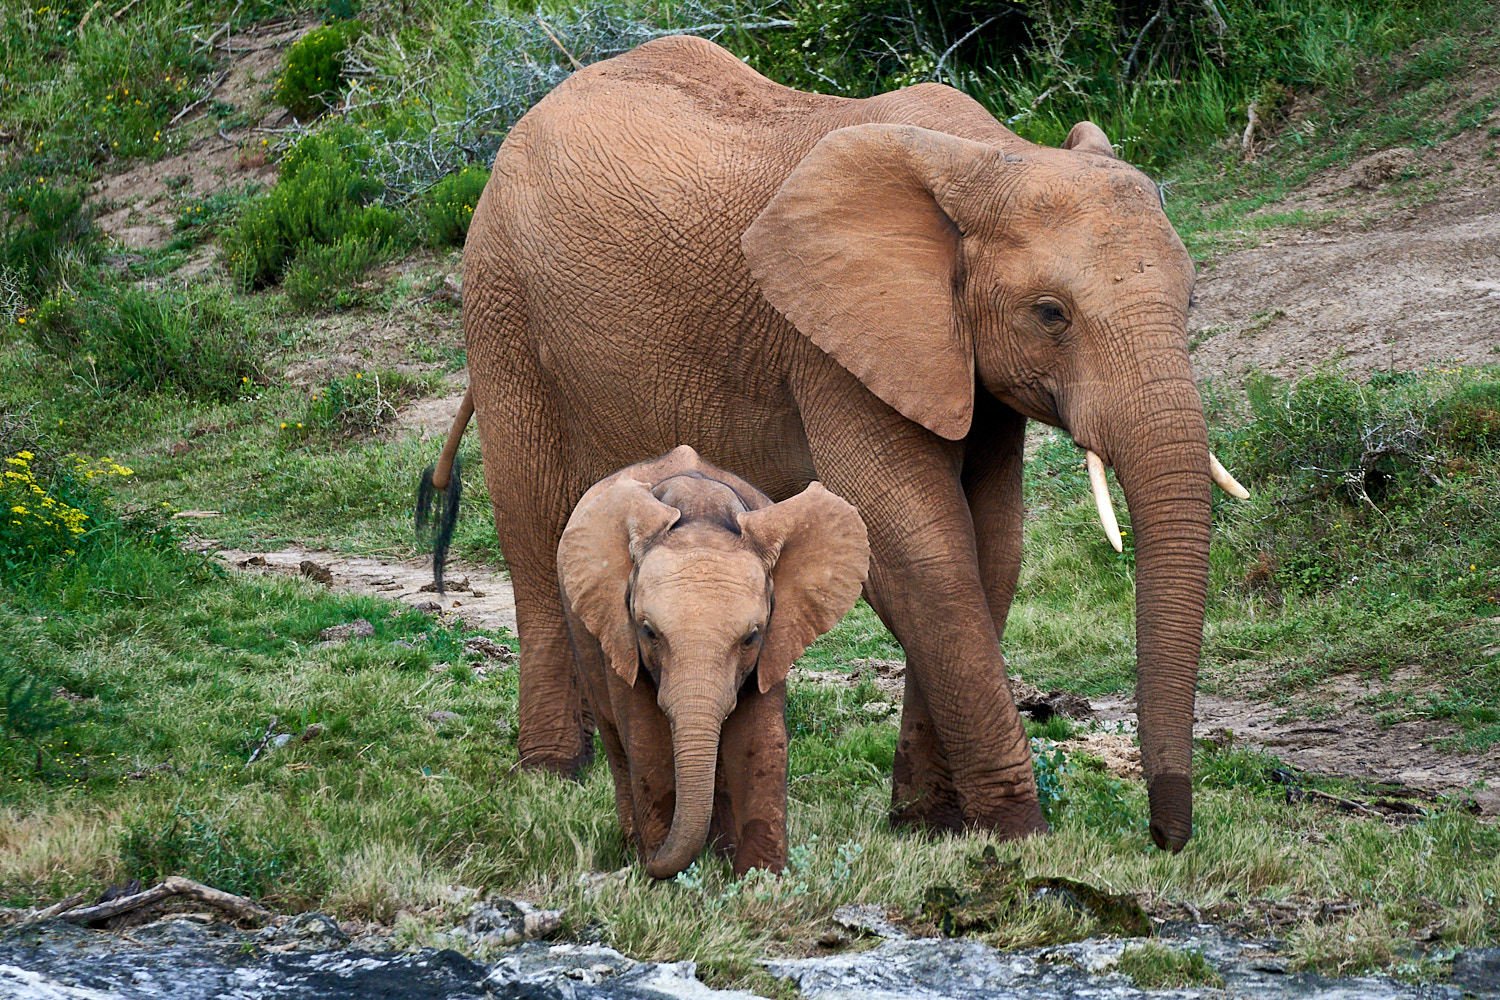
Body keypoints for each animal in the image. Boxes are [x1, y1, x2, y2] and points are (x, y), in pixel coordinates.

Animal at [561, 446, 870, 875]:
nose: (650, 862)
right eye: (649, 632)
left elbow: (759, 740)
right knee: (616, 742)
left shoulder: (775, 642)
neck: (701, 510)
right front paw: (663, 876)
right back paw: (632, 845)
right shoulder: (620, 635)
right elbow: (647, 740)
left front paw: (761, 879)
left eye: (751, 637)